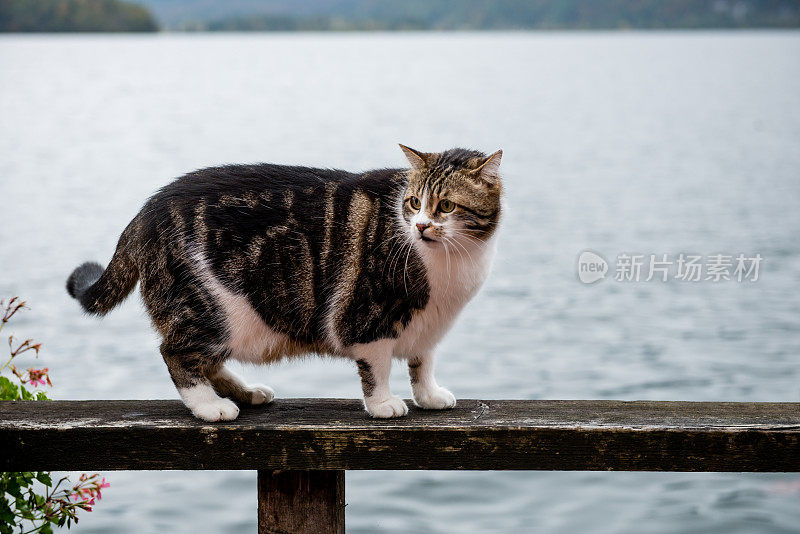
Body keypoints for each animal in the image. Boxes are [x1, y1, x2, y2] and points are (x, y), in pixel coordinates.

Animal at [65, 147, 504, 422]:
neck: (455, 264)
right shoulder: (365, 319)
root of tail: (147, 210)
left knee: (208, 360)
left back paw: (245, 393)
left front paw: (428, 396)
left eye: (445, 206)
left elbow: (423, 362)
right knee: (176, 353)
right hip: (210, 309)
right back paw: (210, 406)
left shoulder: (428, 324)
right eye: (413, 202)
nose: (422, 226)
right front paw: (383, 404)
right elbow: (376, 366)